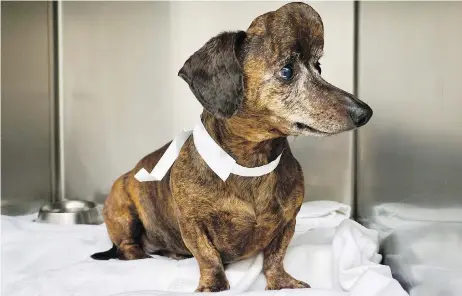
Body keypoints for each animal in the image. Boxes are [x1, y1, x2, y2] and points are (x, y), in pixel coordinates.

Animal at [91, 2, 372, 292]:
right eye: (287, 71)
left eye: (318, 66)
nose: (364, 113)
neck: (251, 165)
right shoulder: (192, 224)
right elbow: (207, 255)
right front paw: (214, 285)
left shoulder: (288, 222)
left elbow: (275, 256)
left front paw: (281, 282)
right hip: (122, 209)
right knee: (126, 247)